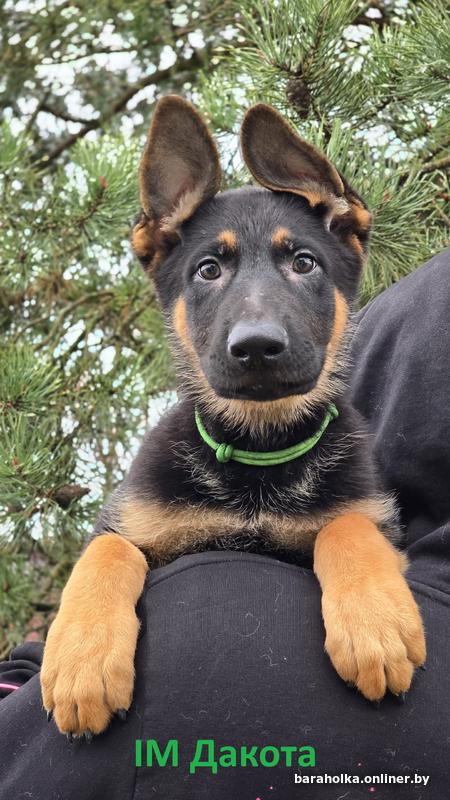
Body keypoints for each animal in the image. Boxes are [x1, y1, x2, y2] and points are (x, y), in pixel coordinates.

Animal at [40, 96, 426, 737]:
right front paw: (82, 660)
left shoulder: (379, 528)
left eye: (304, 263)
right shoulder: (133, 518)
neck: (258, 451)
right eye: (207, 270)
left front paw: (377, 622)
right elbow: (105, 552)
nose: (256, 347)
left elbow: (348, 526)